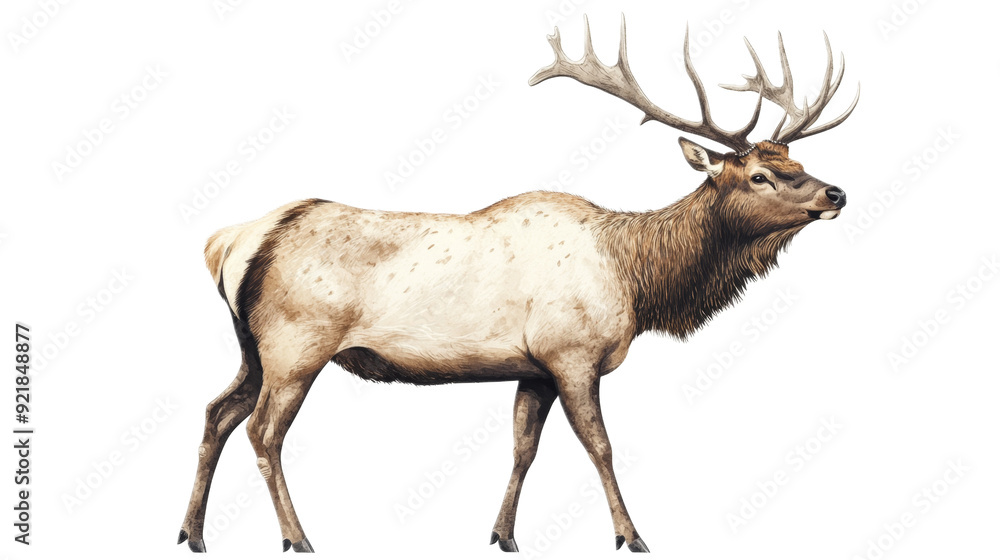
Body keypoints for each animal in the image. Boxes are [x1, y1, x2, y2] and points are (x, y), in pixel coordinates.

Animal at [178, 15, 857, 554]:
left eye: (796, 162)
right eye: (761, 176)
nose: (836, 192)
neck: (636, 282)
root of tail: (231, 242)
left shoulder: (534, 367)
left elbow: (523, 448)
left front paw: (502, 534)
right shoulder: (572, 352)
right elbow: (601, 445)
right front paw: (631, 534)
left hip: (253, 347)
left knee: (217, 412)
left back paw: (193, 532)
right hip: (297, 343)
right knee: (264, 431)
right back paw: (297, 537)